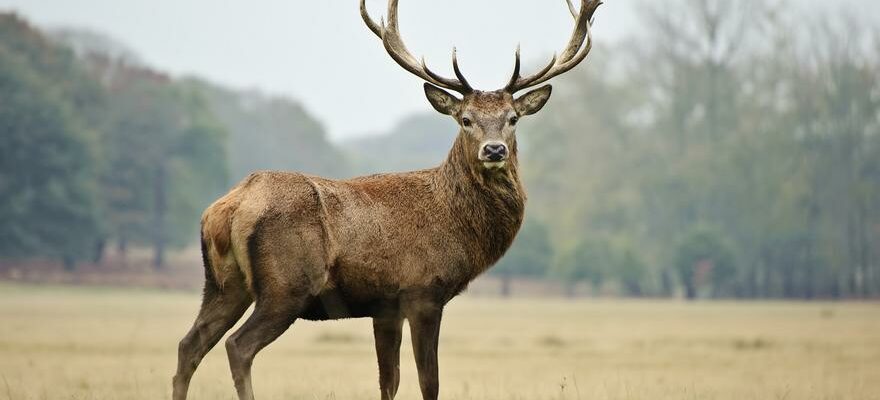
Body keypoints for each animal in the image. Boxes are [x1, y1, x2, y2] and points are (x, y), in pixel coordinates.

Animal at [172, 0, 600, 398]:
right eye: (465, 119)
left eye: (513, 118)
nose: (494, 150)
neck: (455, 223)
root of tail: (228, 207)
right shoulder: (423, 292)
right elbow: (429, 382)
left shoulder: (385, 308)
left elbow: (388, 381)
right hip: (286, 285)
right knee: (237, 346)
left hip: (224, 284)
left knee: (189, 344)